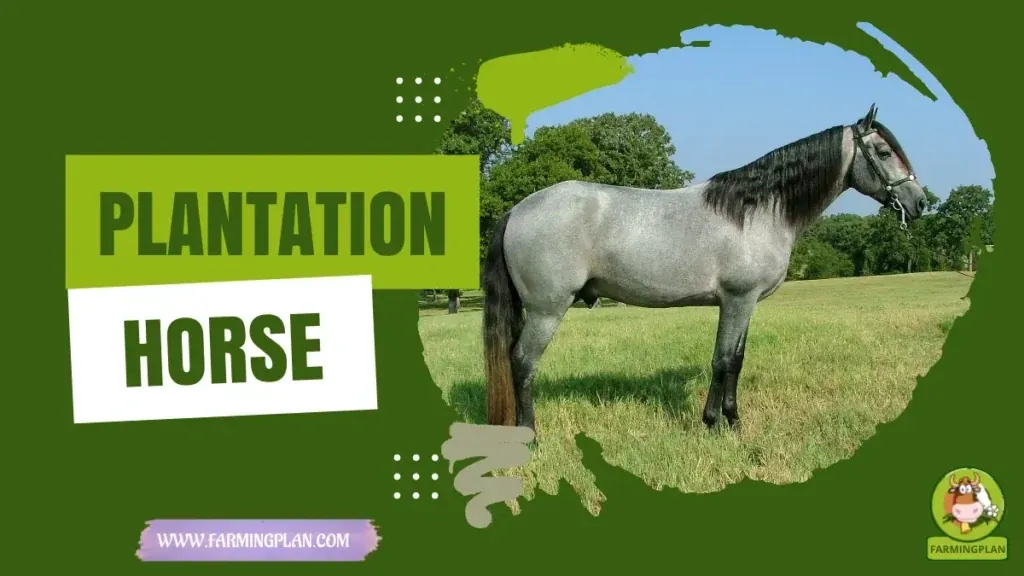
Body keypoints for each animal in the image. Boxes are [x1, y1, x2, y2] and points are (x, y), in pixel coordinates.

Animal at [481, 104, 927, 434]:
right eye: (883, 153)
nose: (920, 202)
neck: (755, 211)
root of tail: (518, 209)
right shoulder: (738, 299)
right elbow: (724, 361)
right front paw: (722, 422)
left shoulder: (742, 304)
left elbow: (734, 359)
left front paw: (722, 420)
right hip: (547, 310)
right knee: (522, 363)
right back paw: (530, 434)